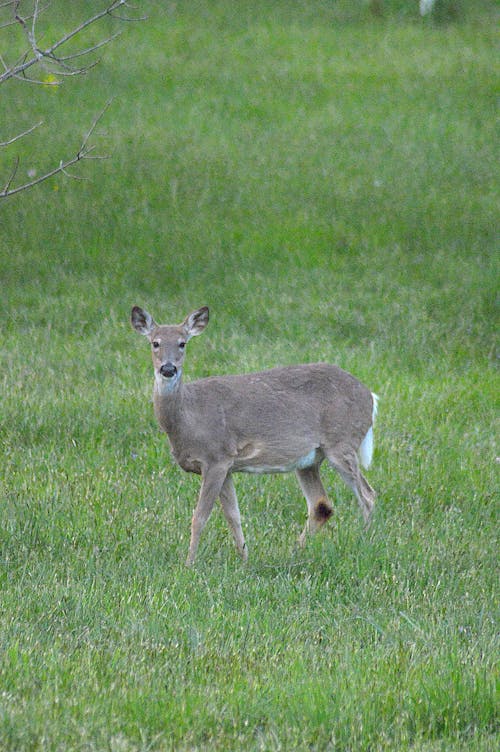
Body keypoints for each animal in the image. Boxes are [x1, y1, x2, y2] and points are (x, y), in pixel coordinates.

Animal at [131, 306, 376, 564]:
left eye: (182, 343)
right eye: (155, 343)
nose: (168, 369)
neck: (188, 417)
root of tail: (370, 396)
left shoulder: (216, 457)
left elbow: (200, 517)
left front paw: (189, 564)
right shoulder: (227, 465)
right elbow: (233, 516)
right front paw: (244, 559)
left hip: (342, 442)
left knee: (367, 496)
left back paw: (364, 542)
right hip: (309, 459)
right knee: (321, 505)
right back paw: (294, 551)